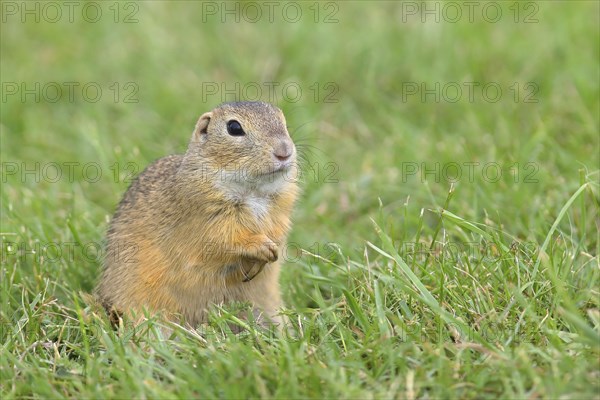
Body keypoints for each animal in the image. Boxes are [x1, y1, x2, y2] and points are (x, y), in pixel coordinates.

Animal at [96, 101, 300, 328]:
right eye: (234, 128)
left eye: (283, 121)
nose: (284, 151)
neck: (254, 191)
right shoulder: (205, 215)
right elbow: (222, 239)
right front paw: (261, 247)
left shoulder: (280, 211)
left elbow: (279, 232)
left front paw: (272, 249)